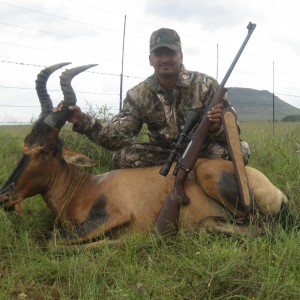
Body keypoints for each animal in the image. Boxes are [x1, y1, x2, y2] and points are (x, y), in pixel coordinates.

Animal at [0, 62, 290, 248]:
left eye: (44, 150)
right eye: (26, 145)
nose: (5, 196)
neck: (87, 186)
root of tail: (278, 191)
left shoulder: (116, 215)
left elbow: (52, 243)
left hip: (215, 177)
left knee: (264, 227)